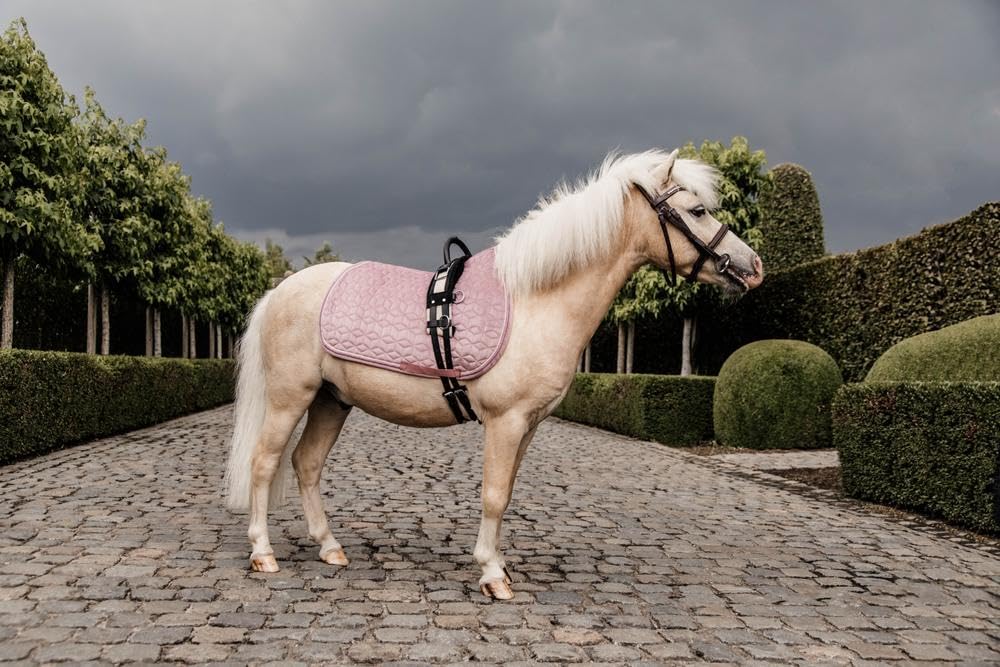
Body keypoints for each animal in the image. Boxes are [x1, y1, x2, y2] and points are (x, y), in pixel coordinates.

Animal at [224, 148, 764, 599]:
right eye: (697, 211)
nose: (753, 266)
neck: (534, 301)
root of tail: (279, 291)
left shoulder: (528, 426)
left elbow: (505, 496)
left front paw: (498, 564)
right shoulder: (505, 422)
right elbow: (494, 495)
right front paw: (492, 576)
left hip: (332, 400)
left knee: (307, 464)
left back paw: (330, 548)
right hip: (290, 398)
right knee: (264, 463)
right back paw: (263, 554)